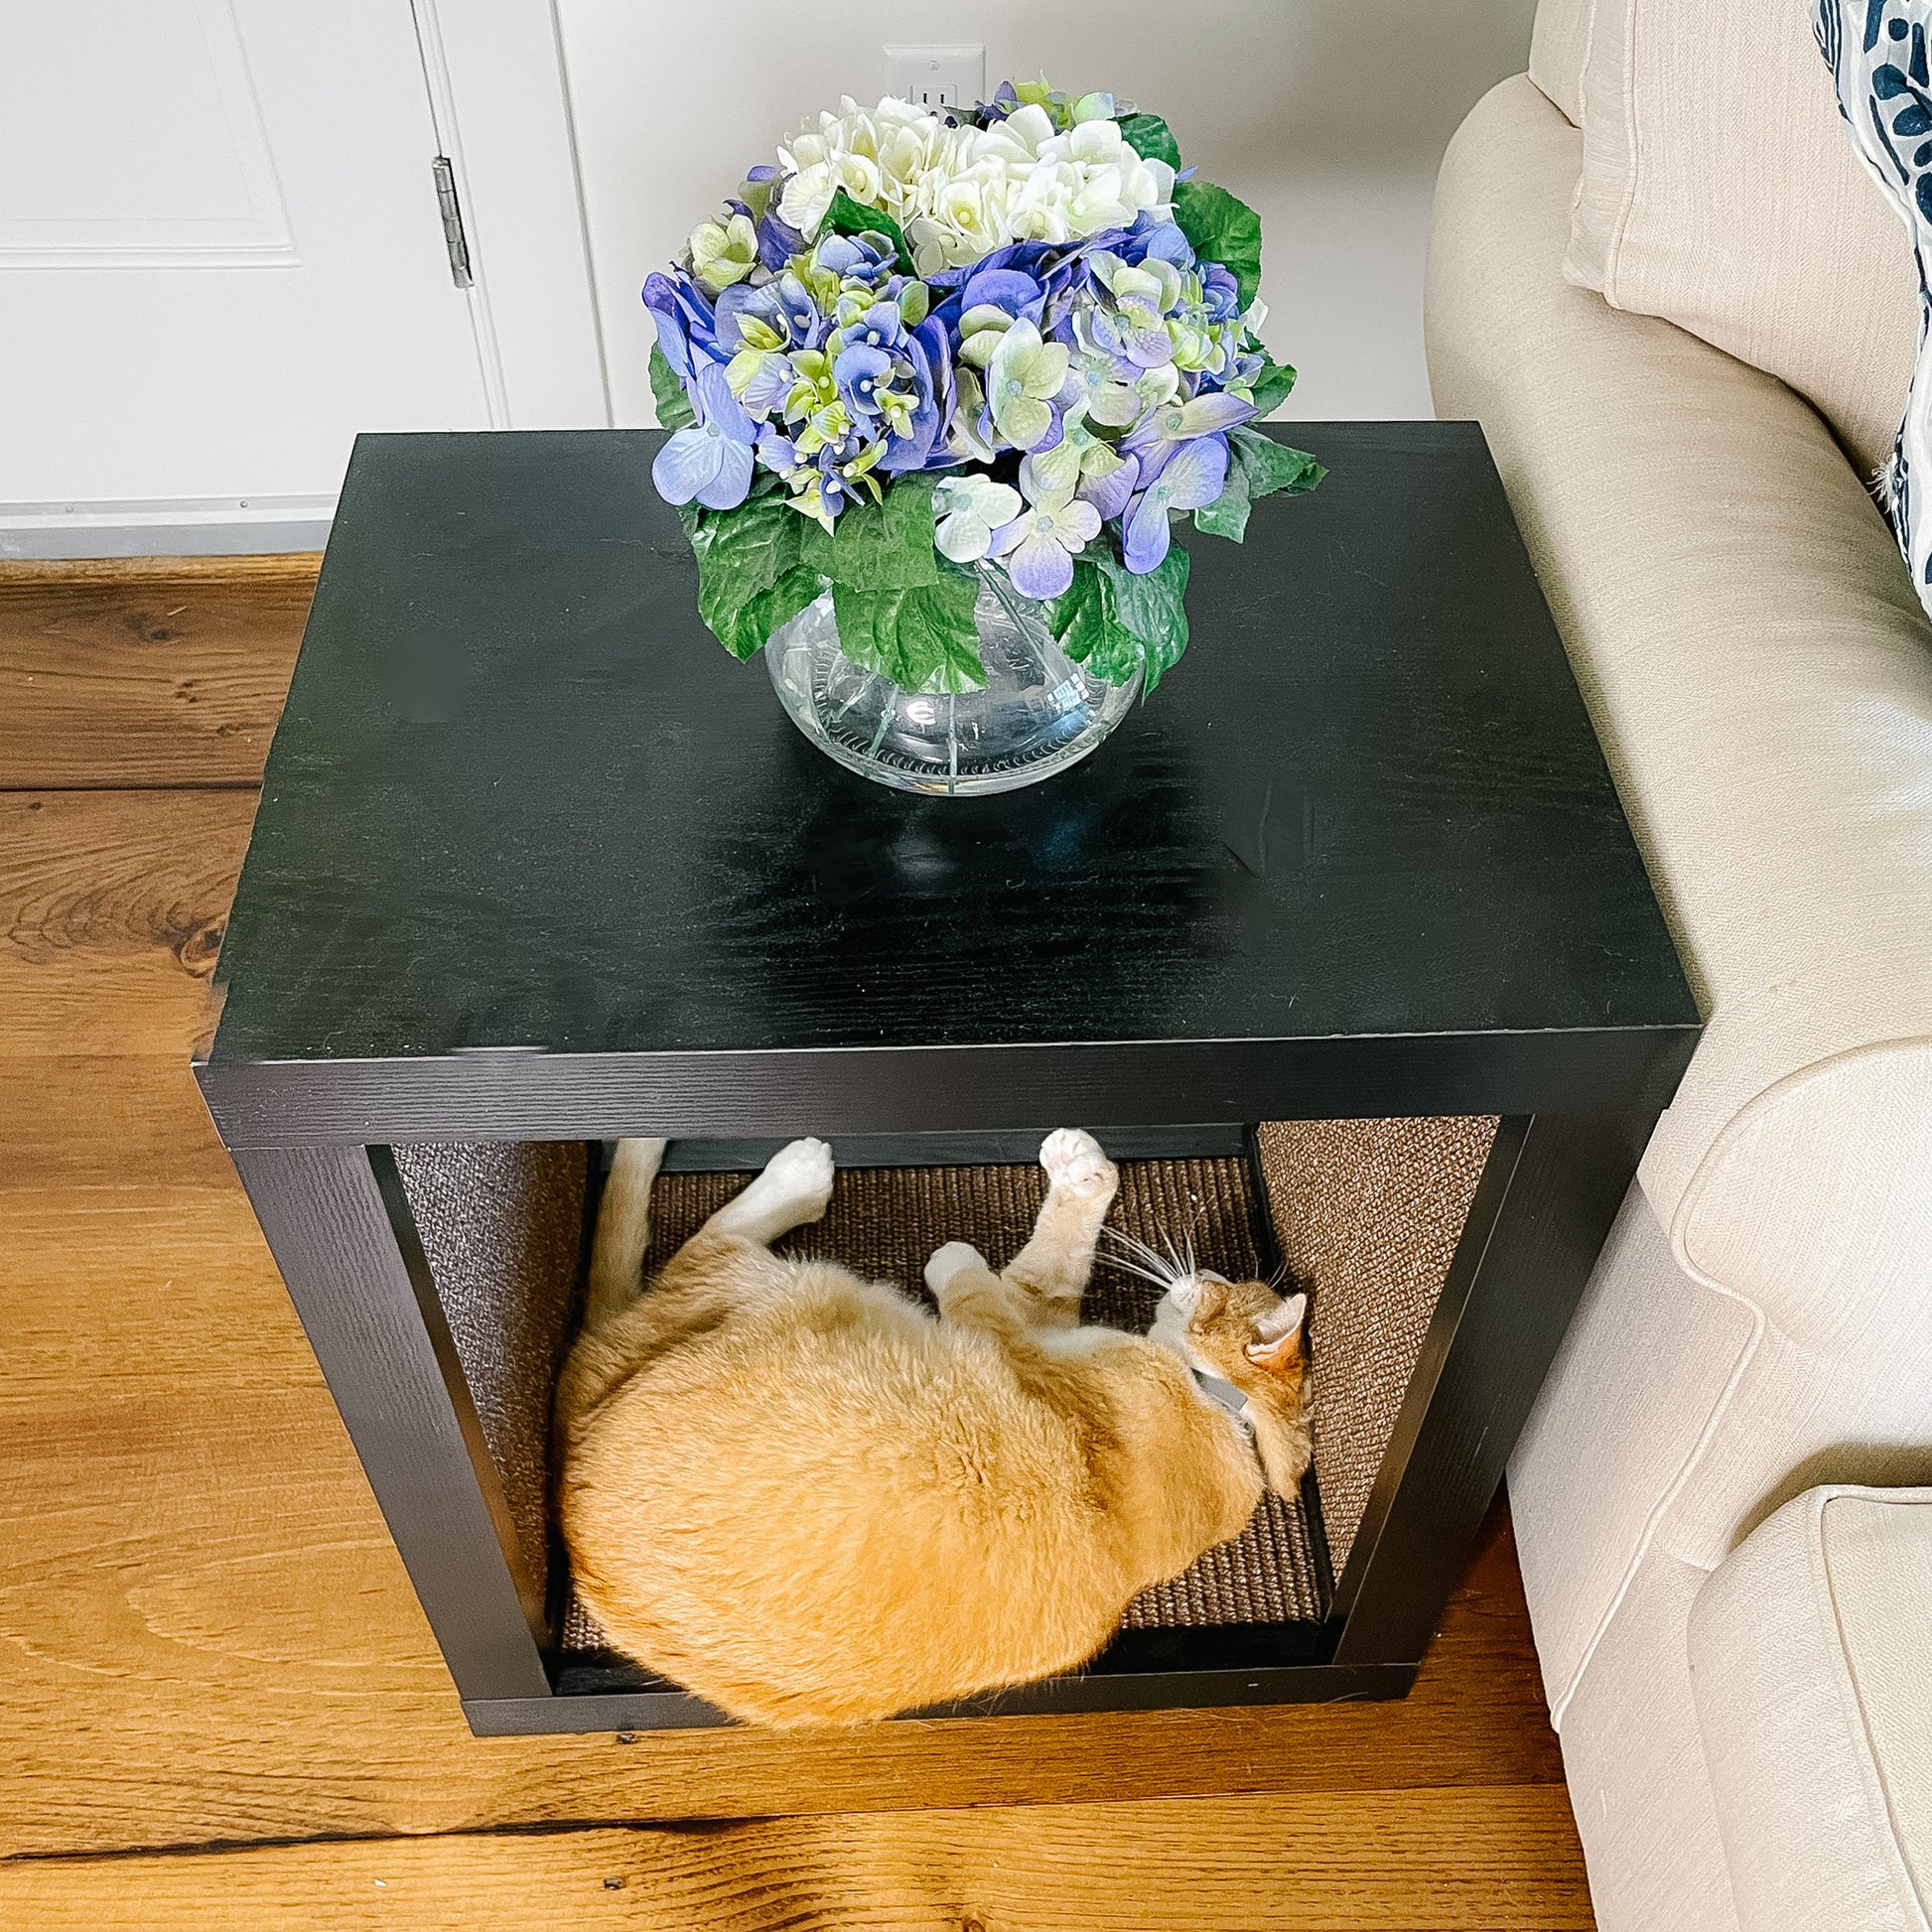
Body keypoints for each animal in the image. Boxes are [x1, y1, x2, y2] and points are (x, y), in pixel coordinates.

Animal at [560, 1128, 1313, 1730]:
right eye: (1223, 1281)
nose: (1197, 1272)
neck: (1223, 1415)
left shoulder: (1017, 1338)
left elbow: (1006, 1278)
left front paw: (984, 1236)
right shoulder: (1042, 1330)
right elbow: (1055, 1271)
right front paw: (1084, 1172)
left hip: (788, 1283)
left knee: (706, 1242)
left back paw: (794, 1173)